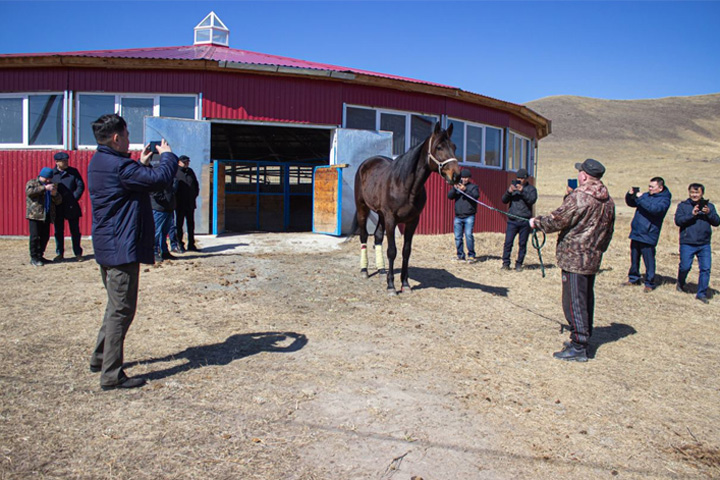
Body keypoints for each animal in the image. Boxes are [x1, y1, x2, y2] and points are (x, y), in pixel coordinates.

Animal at [354, 122, 462, 294]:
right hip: (362, 208)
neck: (405, 184)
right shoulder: (391, 219)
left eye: (454, 147)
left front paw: (405, 284)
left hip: (381, 215)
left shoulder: (412, 221)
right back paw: (364, 270)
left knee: (378, 237)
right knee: (364, 236)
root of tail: (366, 163)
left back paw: (382, 270)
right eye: (439, 147)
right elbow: (392, 251)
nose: (456, 175)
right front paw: (391, 286)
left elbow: (406, 251)